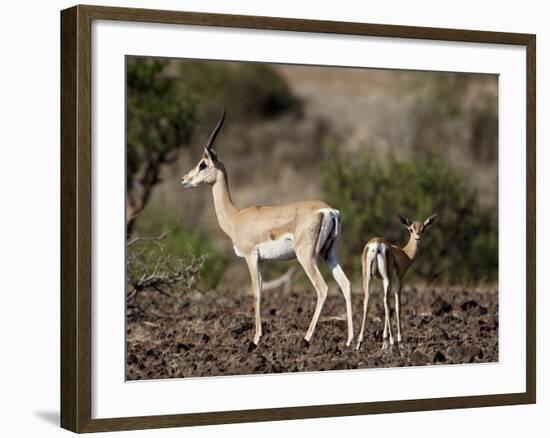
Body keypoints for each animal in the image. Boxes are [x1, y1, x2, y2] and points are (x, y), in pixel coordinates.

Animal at [179, 111, 356, 348]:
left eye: (203, 164)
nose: (184, 179)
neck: (236, 217)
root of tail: (328, 210)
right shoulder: (262, 261)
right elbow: (262, 293)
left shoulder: (250, 257)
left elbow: (255, 294)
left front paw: (255, 339)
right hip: (329, 255)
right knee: (346, 285)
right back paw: (351, 340)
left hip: (306, 257)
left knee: (323, 289)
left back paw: (307, 337)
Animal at [358, 214, 440, 350]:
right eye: (411, 229)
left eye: (423, 229)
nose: (418, 238)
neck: (404, 254)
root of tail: (377, 244)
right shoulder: (398, 280)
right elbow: (397, 306)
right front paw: (398, 341)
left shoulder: (386, 281)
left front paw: (384, 341)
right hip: (385, 278)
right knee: (386, 301)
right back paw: (393, 340)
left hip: (367, 277)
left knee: (367, 300)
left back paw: (359, 343)